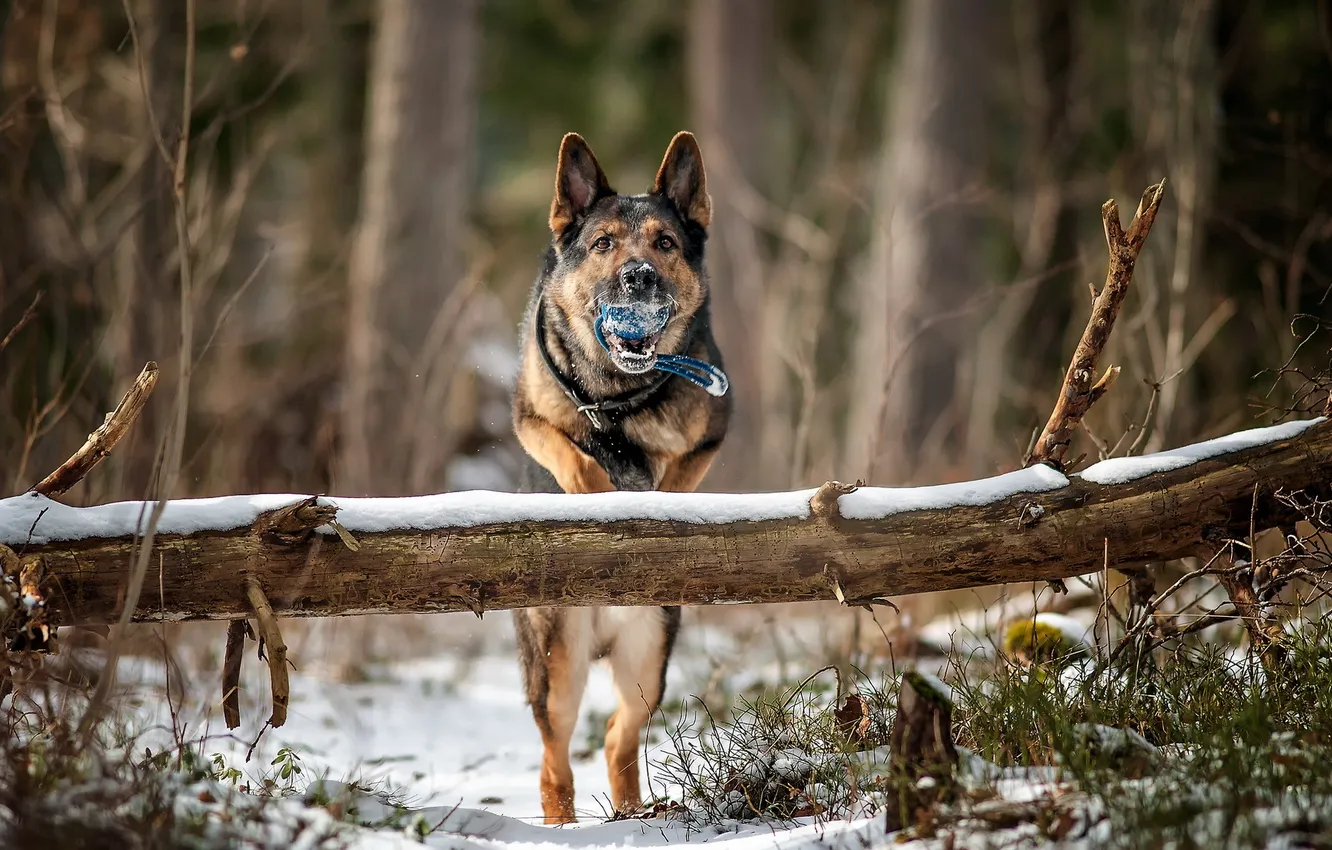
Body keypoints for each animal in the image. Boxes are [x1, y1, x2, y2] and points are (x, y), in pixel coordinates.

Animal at [511, 134, 740, 826]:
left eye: (665, 242)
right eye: (603, 244)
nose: (638, 277)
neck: (619, 394)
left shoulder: (713, 432)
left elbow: (676, 480)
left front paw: (656, 514)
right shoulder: (528, 416)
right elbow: (572, 454)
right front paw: (595, 496)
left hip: (648, 660)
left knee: (618, 734)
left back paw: (637, 815)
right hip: (558, 666)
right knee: (554, 756)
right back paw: (563, 824)